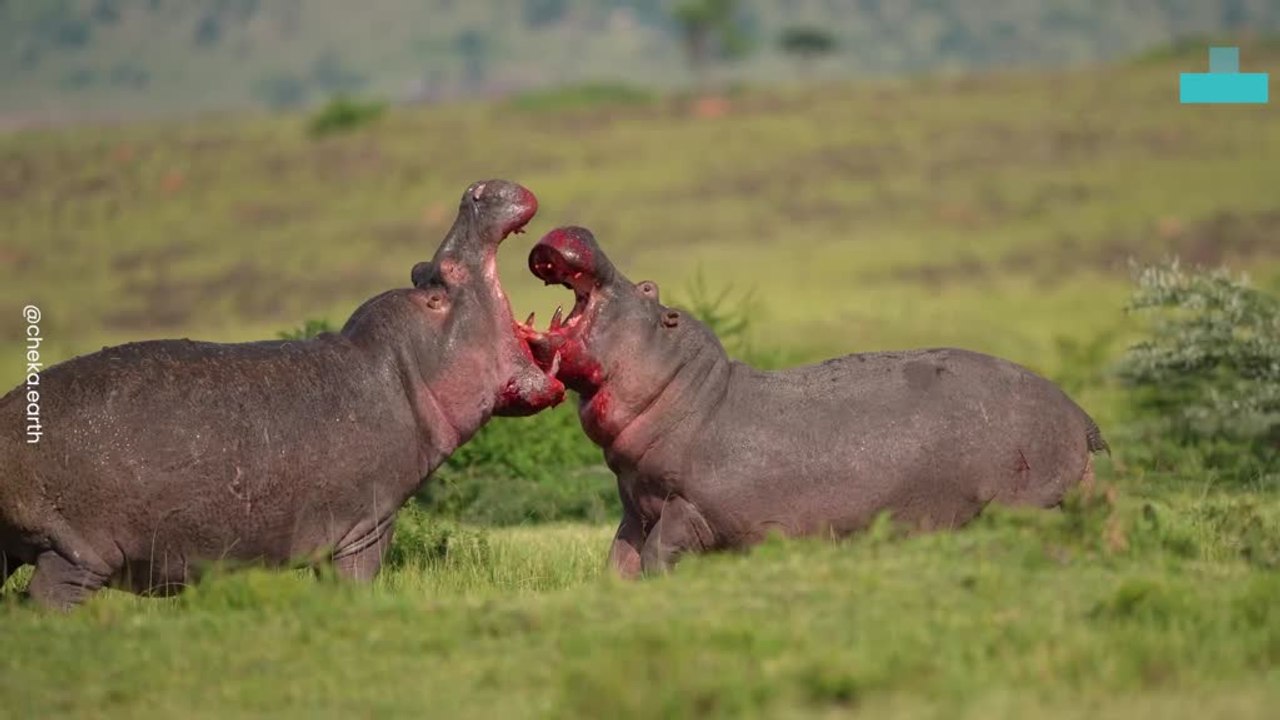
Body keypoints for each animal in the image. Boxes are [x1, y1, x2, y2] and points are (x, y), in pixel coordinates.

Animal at [0, 180, 564, 609]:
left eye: (421, 270)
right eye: (443, 276)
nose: (475, 191)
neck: (400, 369)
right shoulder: (365, 528)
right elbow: (354, 583)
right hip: (74, 555)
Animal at [518, 226, 1109, 578]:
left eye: (647, 290)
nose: (585, 234)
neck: (691, 393)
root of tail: (1081, 416)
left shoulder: (688, 509)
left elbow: (657, 557)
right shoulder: (635, 510)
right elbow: (617, 562)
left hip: (1031, 504)